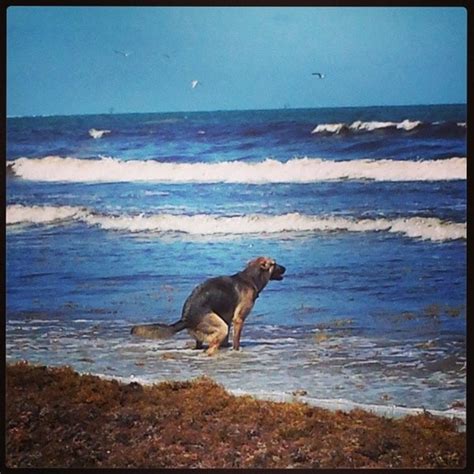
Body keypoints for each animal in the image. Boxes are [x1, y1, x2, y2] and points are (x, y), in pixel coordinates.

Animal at [130, 256, 286, 356]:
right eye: (274, 263)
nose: (285, 268)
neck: (250, 278)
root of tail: (185, 318)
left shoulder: (228, 319)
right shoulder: (238, 320)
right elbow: (236, 341)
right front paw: (236, 351)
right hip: (220, 326)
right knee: (210, 348)